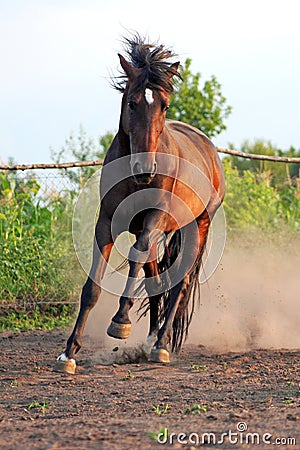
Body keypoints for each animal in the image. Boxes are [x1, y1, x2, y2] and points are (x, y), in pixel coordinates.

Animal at [55, 34, 226, 372]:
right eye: (131, 102)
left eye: (165, 105)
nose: (145, 170)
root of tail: (209, 151)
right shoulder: (107, 222)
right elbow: (92, 287)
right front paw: (68, 354)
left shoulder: (154, 220)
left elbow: (137, 258)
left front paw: (120, 322)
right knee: (155, 276)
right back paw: (150, 340)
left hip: (196, 226)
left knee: (180, 282)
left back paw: (160, 346)